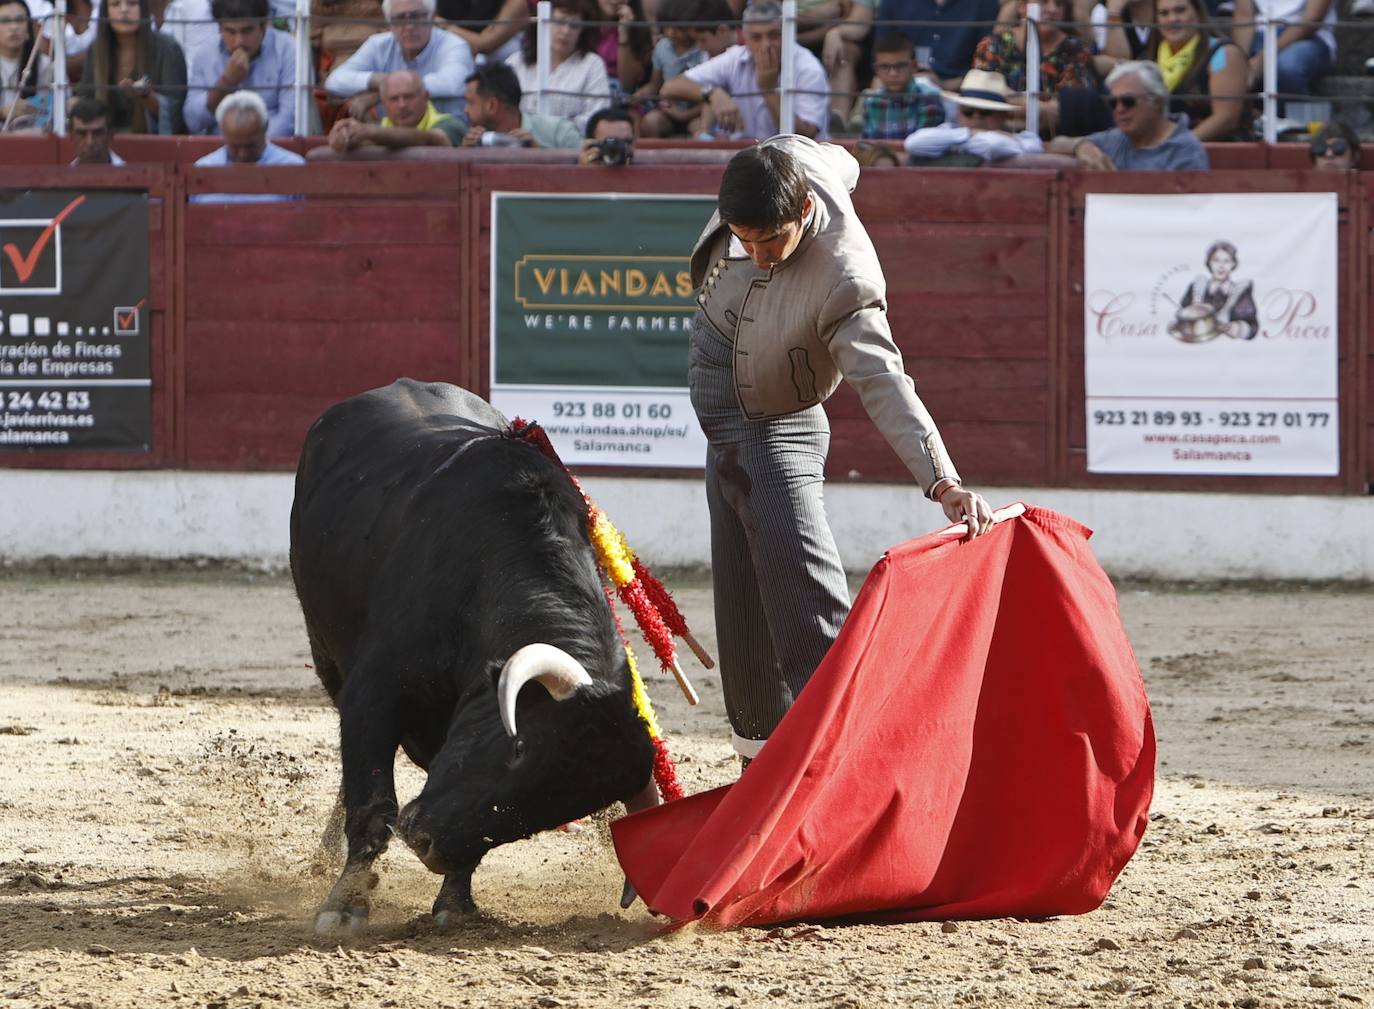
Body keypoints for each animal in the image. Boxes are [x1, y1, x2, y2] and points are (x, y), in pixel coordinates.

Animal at [289, 382, 654, 934]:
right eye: (519, 747)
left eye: (550, 813)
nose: (427, 844)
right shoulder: (373, 694)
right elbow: (372, 803)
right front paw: (345, 905)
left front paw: (453, 902)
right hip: (326, 652)